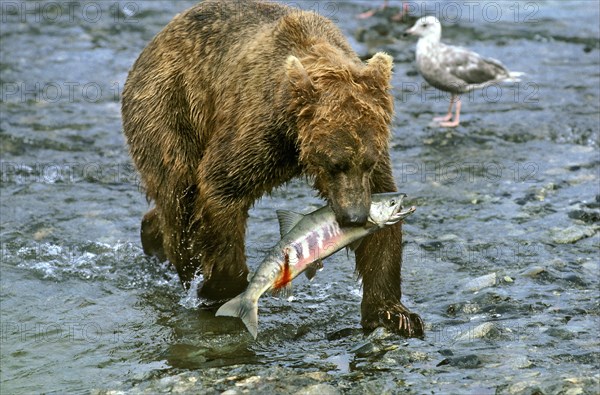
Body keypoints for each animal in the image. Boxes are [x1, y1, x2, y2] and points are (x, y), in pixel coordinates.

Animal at [120, 0, 422, 338]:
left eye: (367, 162)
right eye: (334, 163)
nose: (354, 217)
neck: (294, 140)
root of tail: (155, 41)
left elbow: (382, 226)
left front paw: (394, 313)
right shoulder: (259, 130)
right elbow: (221, 186)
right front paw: (221, 288)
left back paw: (152, 237)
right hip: (169, 107)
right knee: (179, 197)